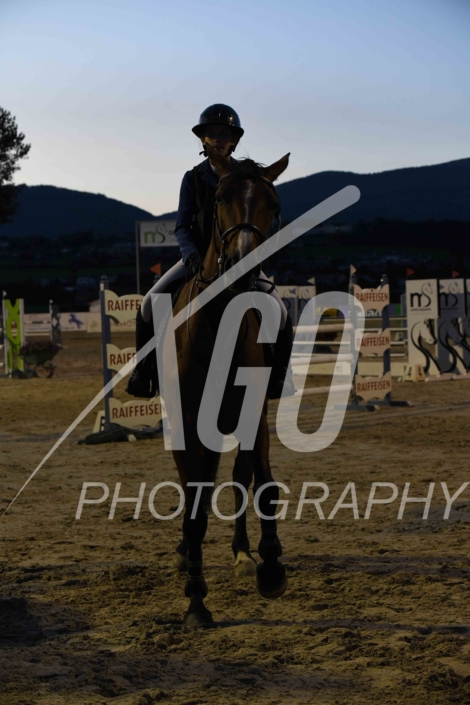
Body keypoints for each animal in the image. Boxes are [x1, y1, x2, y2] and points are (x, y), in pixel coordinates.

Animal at [160, 148, 290, 628]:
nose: (241, 267)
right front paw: (196, 600)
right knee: (194, 487)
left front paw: (271, 568)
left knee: (238, 477)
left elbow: (263, 485)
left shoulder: (253, 415)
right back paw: (187, 554)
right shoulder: (187, 421)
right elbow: (195, 505)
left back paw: (243, 553)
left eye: (274, 205)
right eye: (219, 199)